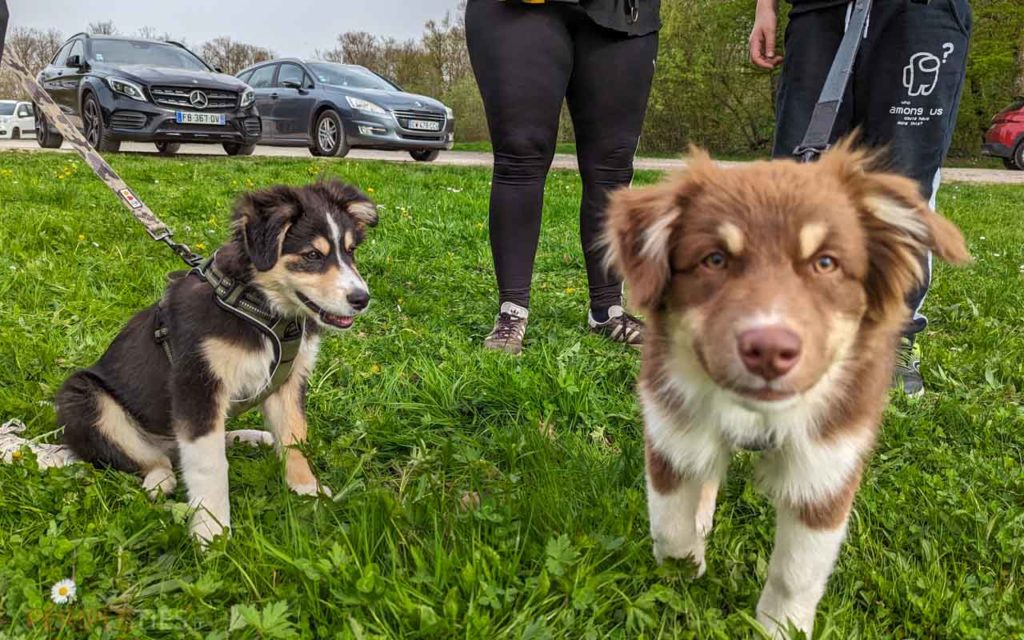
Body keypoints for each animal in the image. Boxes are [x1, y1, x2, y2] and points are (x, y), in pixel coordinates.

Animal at [56, 180, 376, 540]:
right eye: (312, 255)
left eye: (351, 251)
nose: (362, 299)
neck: (261, 309)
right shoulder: (197, 383)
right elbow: (210, 464)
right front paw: (212, 533)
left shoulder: (288, 380)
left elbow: (294, 437)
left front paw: (307, 490)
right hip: (82, 398)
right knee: (152, 457)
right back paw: (159, 480)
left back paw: (251, 437)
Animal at [602, 142, 970, 634]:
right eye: (715, 259)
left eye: (825, 263)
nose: (769, 351)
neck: (756, 415)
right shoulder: (672, 424)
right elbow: (669, 523)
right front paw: (685, 571)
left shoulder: (827, 462)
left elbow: (797, 570)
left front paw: (781, 627)